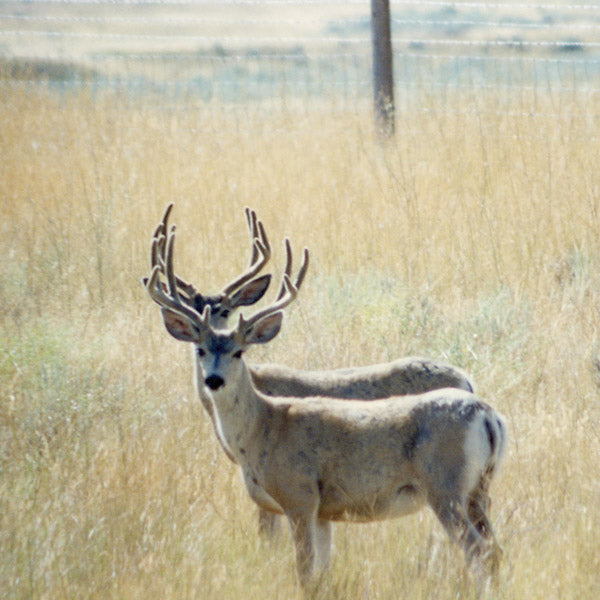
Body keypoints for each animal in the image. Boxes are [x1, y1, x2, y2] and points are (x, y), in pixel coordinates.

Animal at [144, 223, 506, 588]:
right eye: (200, 349)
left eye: (238, 352)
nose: (214, 380)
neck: (264, 425)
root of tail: (488, 415)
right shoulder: (323, 511)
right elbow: (322, 571)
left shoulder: (299, 496)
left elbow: (303, 570)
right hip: (476, 489)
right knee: (494, 549)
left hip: (446, 486)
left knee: (479, 551)